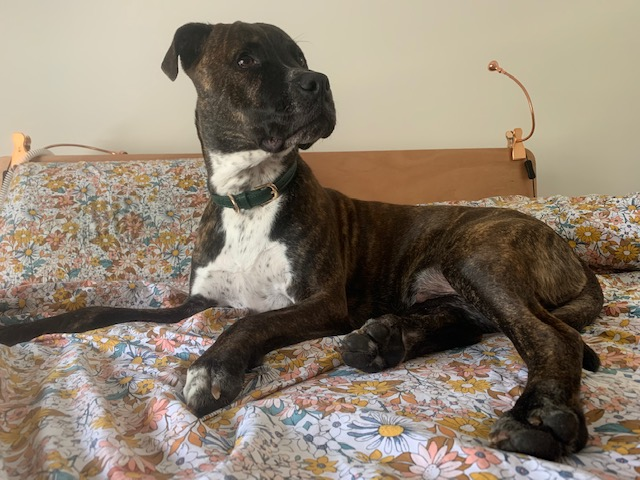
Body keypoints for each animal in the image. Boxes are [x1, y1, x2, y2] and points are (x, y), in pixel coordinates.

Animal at [0, 22, 604, 462]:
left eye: (298, 55)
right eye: (246, 59)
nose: (319, 81)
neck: (250, 196)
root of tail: (565, 248)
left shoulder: (320, 303)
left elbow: (251, 323)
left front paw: (212, 367)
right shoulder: (196, 303)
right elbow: (94, 311)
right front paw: (21, 328)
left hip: (478, 257)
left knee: (549, 337)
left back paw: (540, 419)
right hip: (452, 284)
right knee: (467, 323)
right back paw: (383, 341)